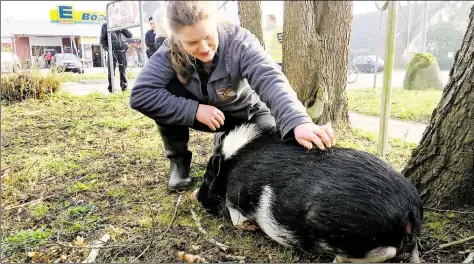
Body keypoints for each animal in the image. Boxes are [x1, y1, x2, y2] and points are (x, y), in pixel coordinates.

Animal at [192, 123, 422, 262]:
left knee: (387, 250)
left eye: (208, 177)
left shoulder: (238, 193)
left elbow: (235, 216)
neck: (232, 165)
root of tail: (411, 205)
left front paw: (251, 226)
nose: (196, 196)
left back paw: (337, 259)